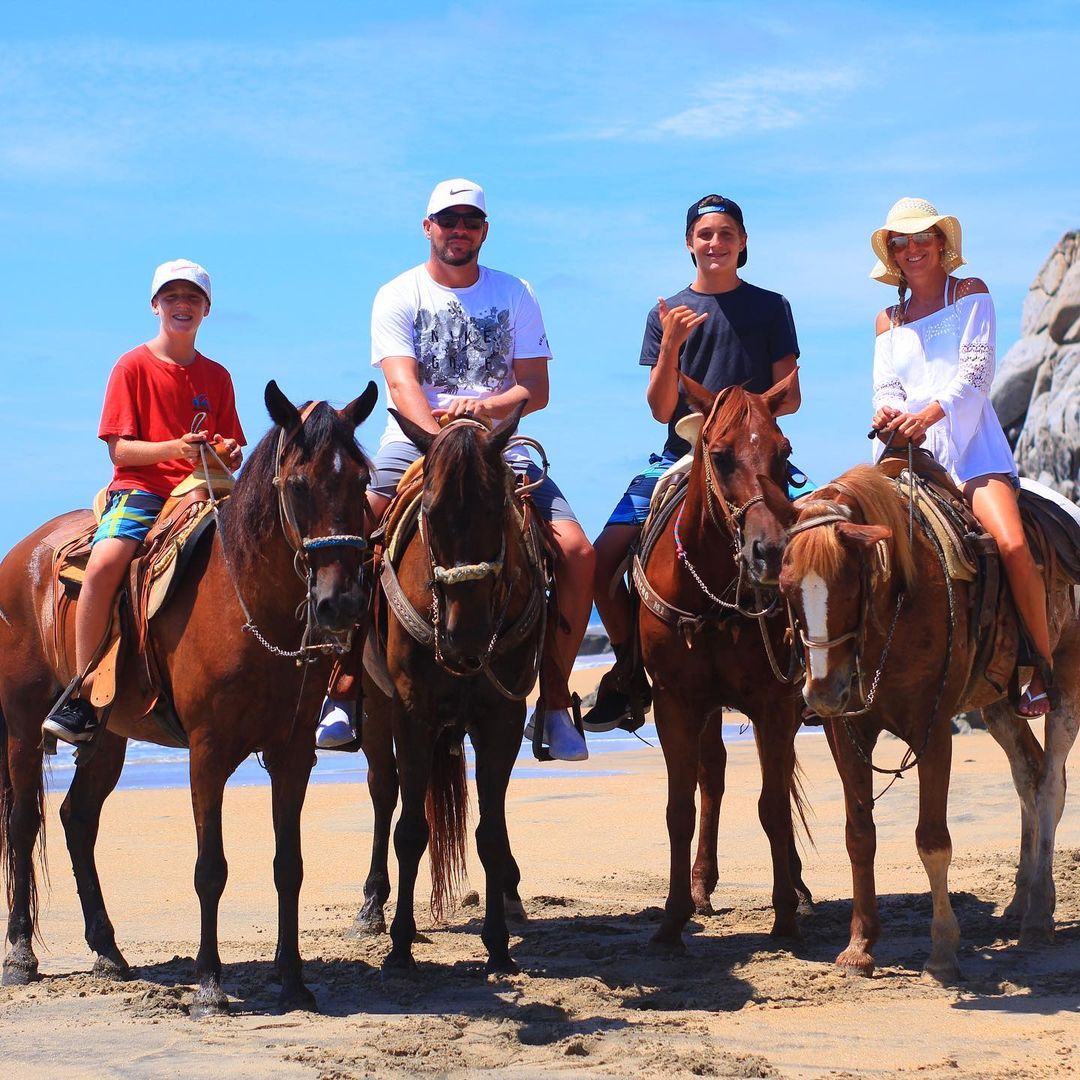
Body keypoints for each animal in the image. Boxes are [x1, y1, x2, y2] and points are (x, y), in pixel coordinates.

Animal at [0, 384, 380, 1015]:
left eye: (359, 480)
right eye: (298, 484)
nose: (341, 603)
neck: (244, 596)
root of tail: (22, 554)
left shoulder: (293, 753)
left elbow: (289, 865)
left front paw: (294, 980)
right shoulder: (207, 751)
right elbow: (210, 869)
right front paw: (209, 984)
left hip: (108, 737)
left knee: (77, 819)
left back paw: (108, 950)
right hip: (24, 728)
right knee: (23, 825)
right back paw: (21, 956)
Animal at [365, 408, 548, 976]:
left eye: (498, 507)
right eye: (430, 511)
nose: (465, 640)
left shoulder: (501, 717)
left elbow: (489, 832)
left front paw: (499, 945)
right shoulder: (412, 713)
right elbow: (409, 831)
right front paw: (400, 946)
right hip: (376, 710)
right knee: (384, 791)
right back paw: (370, 906)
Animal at [630, 373, 812, 954]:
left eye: (784, 452)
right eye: (722, 455)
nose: (769, 553)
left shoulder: (774, 705)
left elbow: (773, 806)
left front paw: (785, 916)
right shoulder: (675, 704)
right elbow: (680, 810)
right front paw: (672, 919)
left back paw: (797, 886)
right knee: (712, 778)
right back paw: (701, 885)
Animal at [773, 460, 1080, 984]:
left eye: (850, 583)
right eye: (787, 588)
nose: (823, 693)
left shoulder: (933, 729)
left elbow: (932, 840)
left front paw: (943, 950)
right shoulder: (847, 732)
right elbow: (860, 836)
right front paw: (859, 946)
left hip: (1066, 681)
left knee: (1050, 786)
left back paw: (1039, 914)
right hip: (999, 703)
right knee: (1028, 774)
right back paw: (1020, 901)